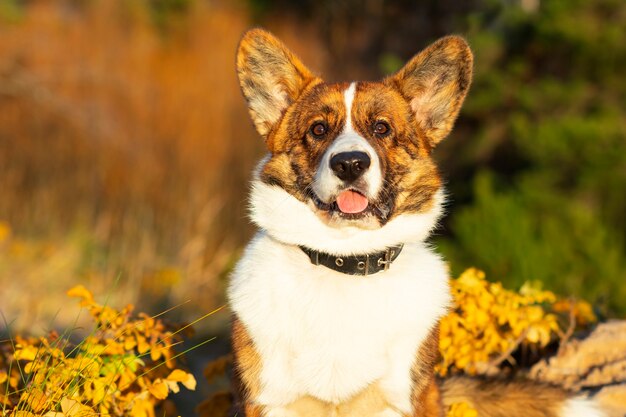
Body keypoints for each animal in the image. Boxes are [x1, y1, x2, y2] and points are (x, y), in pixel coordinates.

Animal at [225, 27, 604, 414]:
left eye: (381, 128)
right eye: (318, 130)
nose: (350, 164)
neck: (346, 258)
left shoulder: (403, 400)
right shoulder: (270, 401)